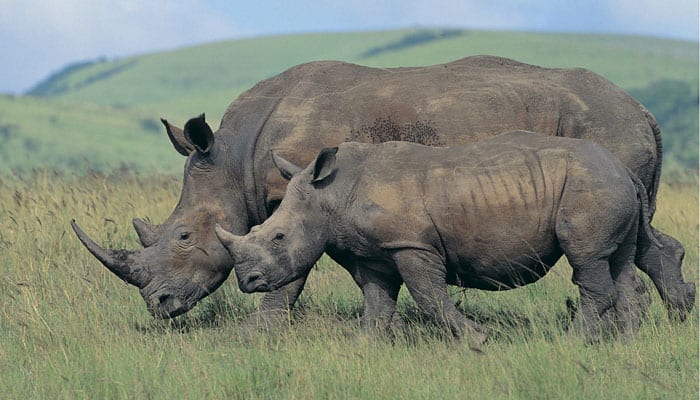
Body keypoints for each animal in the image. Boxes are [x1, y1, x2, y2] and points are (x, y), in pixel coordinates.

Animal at [72, 55, 696, 322]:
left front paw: (260, 330)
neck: (234, 157)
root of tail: (645, 111)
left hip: (603, 131)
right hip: (610, 137)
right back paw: (668, 322)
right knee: (640, 238)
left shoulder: (295, 191)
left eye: (182, 237)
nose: (158, 307)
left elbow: (288, 267)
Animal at [215, 132, 672, 344]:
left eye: (278, 236)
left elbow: (429, 297)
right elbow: (377, 303)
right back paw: (626, 342)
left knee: (588, 261)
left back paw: (574, 341)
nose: (248, 282)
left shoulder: (411, 244)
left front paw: (478, 339)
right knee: (619, 261)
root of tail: (621, 167)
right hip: (606, 186)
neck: (330, 194)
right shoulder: (373, 253)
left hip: (590, 186)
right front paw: (363, 346)